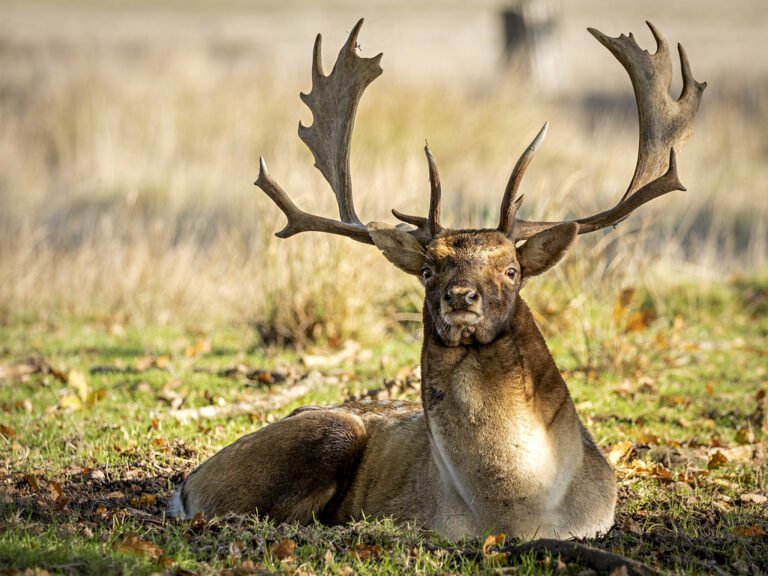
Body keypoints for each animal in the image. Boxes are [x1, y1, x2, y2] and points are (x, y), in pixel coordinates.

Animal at [171, 18, 704, 540]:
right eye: (428, 269)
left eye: (512, 269)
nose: (460, 297)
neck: (517, 512)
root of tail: (188, 483)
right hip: (325, 434)